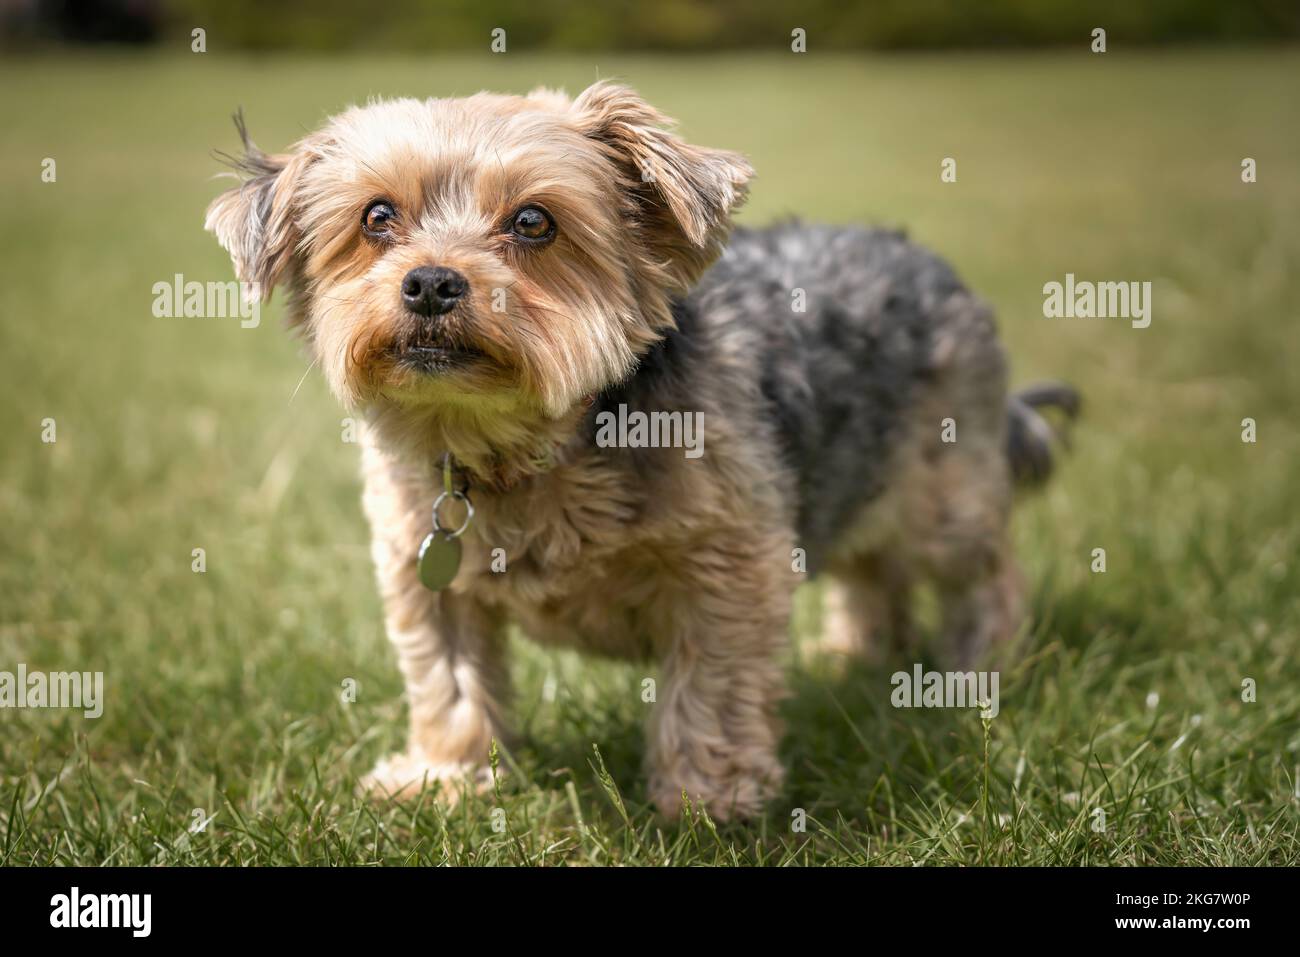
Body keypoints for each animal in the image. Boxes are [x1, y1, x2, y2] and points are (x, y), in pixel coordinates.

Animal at [202, 82, 1076, 816]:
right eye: (377, 217)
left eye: (533, 221)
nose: (430, 283)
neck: (521, 448)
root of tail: (918, 254)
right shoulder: (421, 565)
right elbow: (446, 680)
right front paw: (443, 778)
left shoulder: (730, 559)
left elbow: (712, 682)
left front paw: (709, 798)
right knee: (871, 567)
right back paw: (853, 652)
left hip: (947, 486)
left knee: (983, 572)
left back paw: (976, 670)